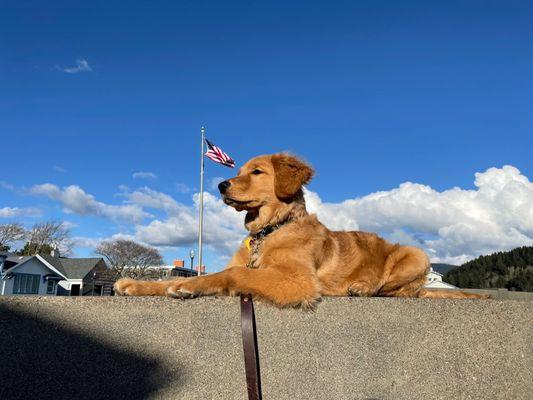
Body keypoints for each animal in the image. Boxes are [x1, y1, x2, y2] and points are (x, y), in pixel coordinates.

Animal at [114, 153, 484, 306]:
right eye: (239, 170)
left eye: (257, 172)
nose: (220, 185)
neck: (269, 231)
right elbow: (185, 276)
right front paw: (137, 284)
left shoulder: (297, 280)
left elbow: (235, 275)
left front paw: (191, 285)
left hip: (415, 254)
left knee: (395, 291)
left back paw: (362, 287)